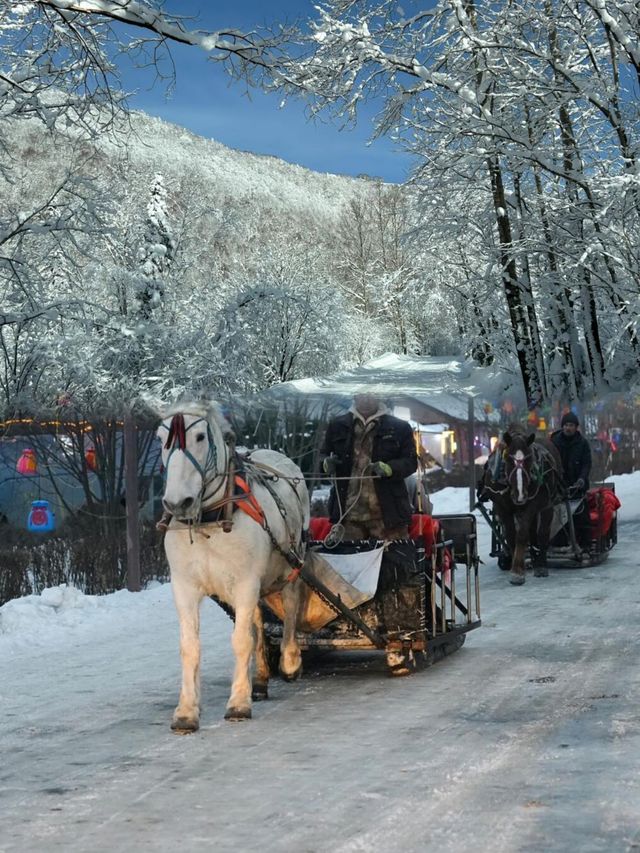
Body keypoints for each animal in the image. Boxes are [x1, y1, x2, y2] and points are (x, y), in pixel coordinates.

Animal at [159, 402, 310, 732]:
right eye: (161, 439)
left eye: (200, 436)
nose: (177, 502)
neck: (209, 521)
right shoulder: (184, 586)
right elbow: (190, 646)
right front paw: (186, 711)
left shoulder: (245, 582)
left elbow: (241, 640)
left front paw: (239, 703)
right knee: (257, 622)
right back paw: (261, 679)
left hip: (291, 560)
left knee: (291, 604)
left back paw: (290, 660)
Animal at [478, 426, 564, 584]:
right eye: (508, 458)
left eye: (529, 458)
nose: (520, 495)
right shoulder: (502, 507)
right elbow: (511, 536)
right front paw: (516, 567)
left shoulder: (532, 505)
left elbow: (522, 534)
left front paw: (518, 570)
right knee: (533, 532)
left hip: (548, 503)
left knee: (543, 532)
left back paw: (541, 565)